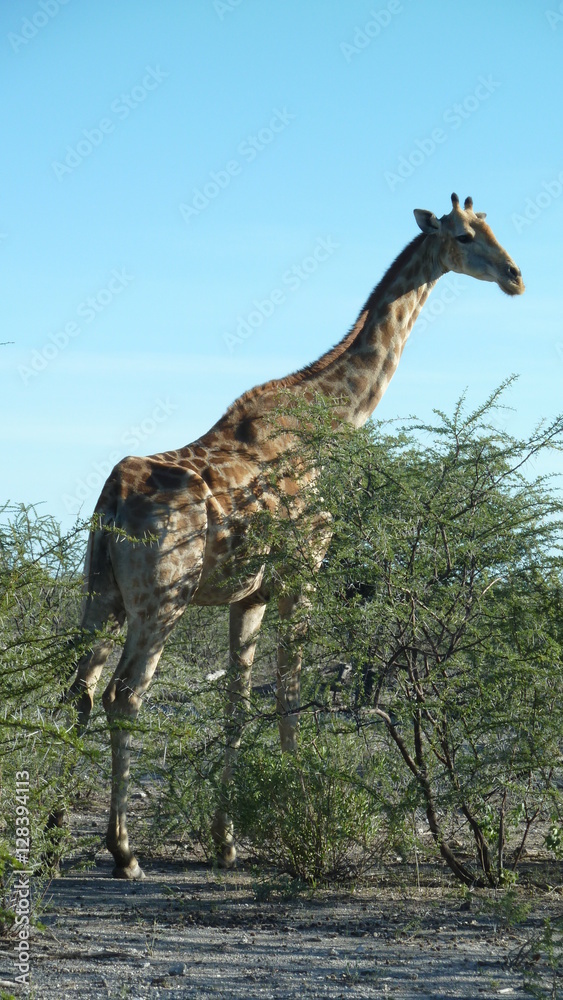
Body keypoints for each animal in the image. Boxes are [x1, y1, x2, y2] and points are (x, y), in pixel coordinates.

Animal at [63, 193, 523, 879]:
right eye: (466, 236)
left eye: (495, 226)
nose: (516, 277)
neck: (332, 420)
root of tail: (114, 498)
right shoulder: (301, 573)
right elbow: (289, 695)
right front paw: (305, 820)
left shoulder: (247, 595)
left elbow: (237, 705)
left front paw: (227, 842)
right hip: (161, 601)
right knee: (126, 697)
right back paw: (123, 853)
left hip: (101, 592)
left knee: (81, 690)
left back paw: (48, 833)